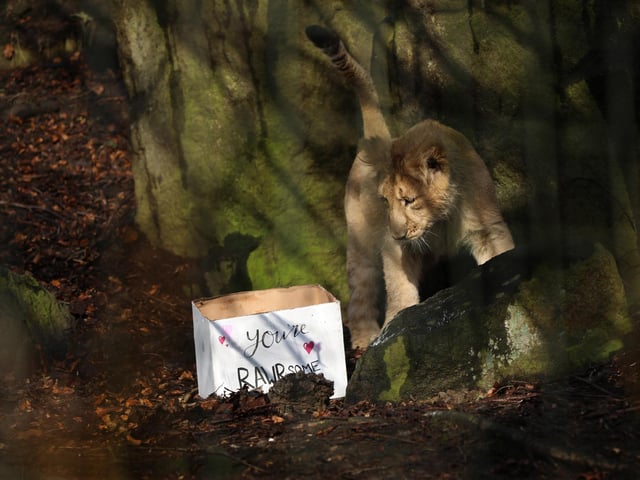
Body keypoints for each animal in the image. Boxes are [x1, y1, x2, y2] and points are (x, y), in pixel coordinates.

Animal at [305, 25, 515, 348]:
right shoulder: (395, 248)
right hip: (362, 243)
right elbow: (400, 289)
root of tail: (380, 139)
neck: (440, 219)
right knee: (360, 290)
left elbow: (500, 254)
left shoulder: (487, 229)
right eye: (386, 202)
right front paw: (396, 326)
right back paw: (365, 337)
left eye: (409, 200)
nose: (398, 233)